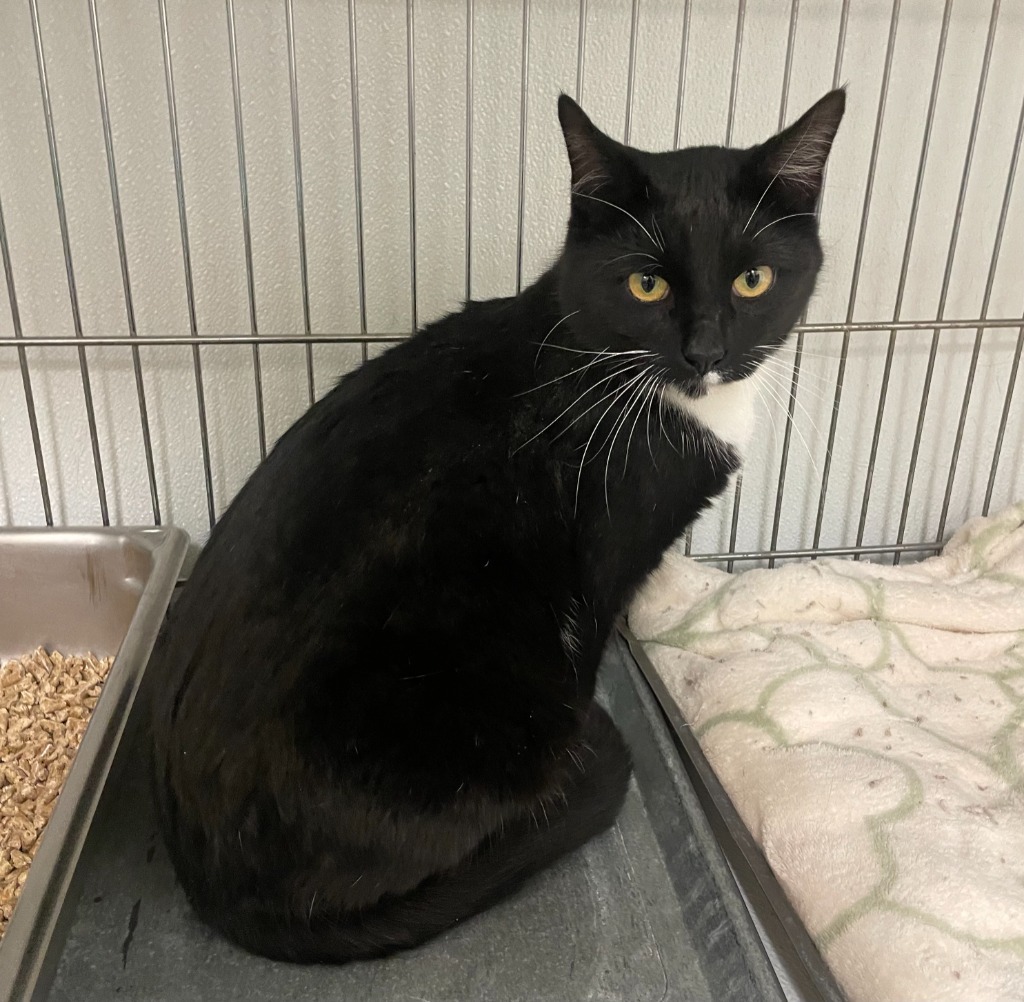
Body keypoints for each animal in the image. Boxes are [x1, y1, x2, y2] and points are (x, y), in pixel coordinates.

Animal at [149, 88, 839, 962]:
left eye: (754, 279)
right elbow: (590, 642)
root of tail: (212, 888)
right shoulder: (601, 561)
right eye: (646, 285)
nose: (706, 351)